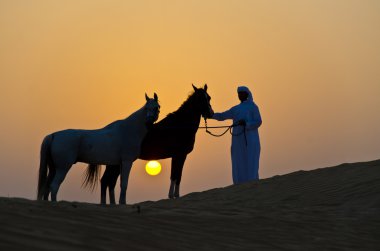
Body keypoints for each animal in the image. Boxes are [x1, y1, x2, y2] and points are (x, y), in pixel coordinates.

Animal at [84, 84, 214, 204]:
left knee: (109, 182)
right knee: (106, 181)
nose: (211, 113)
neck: (178, 126)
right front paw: (174, 196)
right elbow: (176, 176)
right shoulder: (179, 155)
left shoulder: (178, 156)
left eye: (209, 97)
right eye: (200, 99)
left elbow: (176, 175)